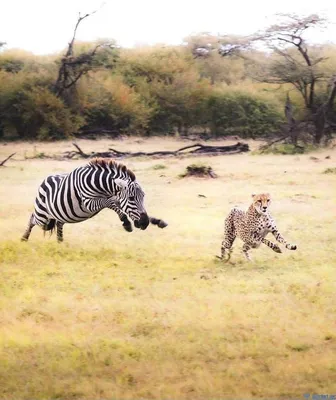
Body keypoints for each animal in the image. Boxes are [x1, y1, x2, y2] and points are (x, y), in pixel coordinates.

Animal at [21, 158, 168, 242]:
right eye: (131, 198)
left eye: (143, 196)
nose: (144, 223)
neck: (102, 186)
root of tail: (45, 179)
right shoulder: (88, 203)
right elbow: (109, 203)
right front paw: (126, 222)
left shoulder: (116, 199)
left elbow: (120, 206)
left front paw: (157, 221)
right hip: (43, 217)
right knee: (32, 218)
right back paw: (24, 238)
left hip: (59, 215)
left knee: (59, 224)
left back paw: (60, 243)